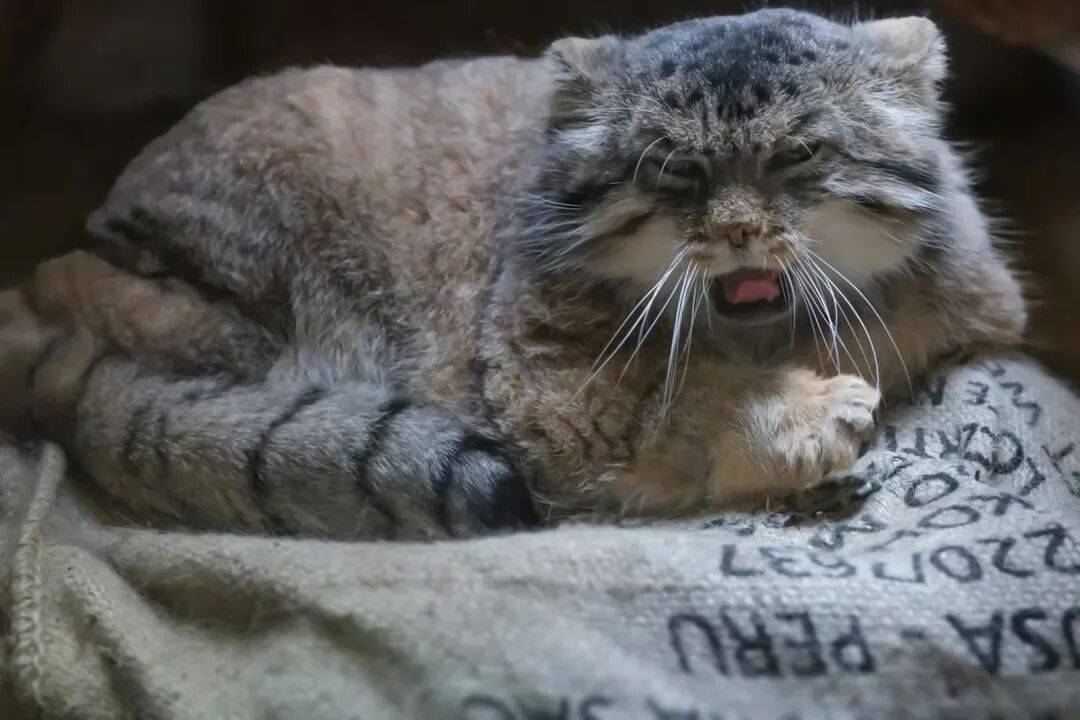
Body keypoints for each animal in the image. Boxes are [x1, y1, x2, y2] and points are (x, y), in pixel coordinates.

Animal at [0, 9, 1025, 539]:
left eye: (800, 157)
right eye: (675, 171)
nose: (738, 232)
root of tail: (46, 306)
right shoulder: (549, 392)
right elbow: (682, 397)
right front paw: (797, 413)